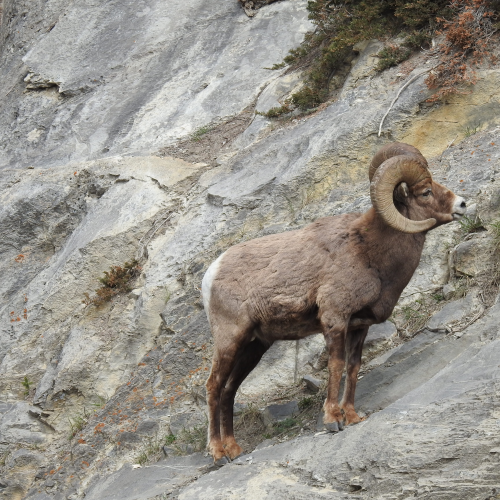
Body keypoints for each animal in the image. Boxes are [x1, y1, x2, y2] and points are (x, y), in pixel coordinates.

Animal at [201, 142, 466, 464]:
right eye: (426, 191)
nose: (463, 204)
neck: (369, 251)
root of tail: (212, 273)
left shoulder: (359, 326)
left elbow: (353, 367)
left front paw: (351, 417)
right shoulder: (334, 318)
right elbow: (336, 365)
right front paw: (332, 421)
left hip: (254, 346)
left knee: (229, 390)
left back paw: (234, 450)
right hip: (230, 340)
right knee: (214, 387)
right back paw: (217, 453)